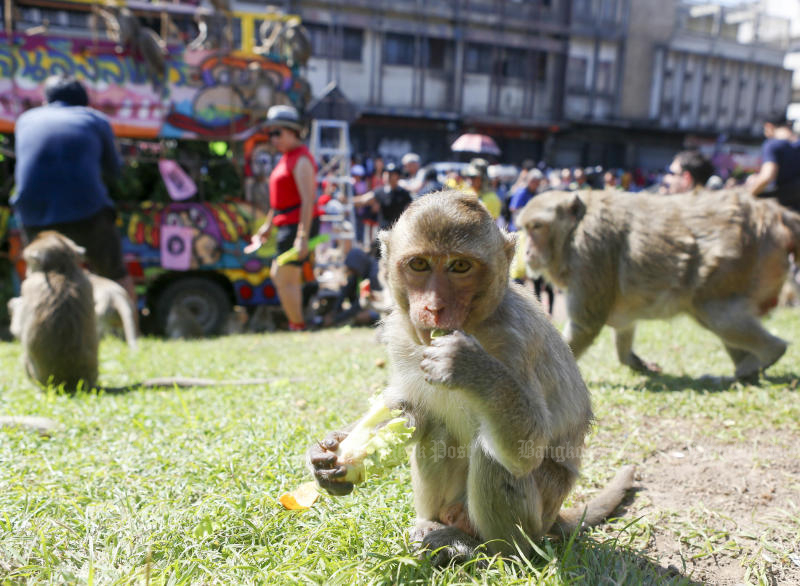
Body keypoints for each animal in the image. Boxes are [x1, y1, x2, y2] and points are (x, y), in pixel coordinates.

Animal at [310, 189, 636, 564]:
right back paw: (432, 526)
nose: (434, 307)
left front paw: (468, 365)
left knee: (493, 457)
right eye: (419, 264)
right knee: (436, 429)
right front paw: (332, 449)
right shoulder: (401, 339)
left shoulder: (517, 340)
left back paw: (486, 551)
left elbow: (526, 450)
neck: (477, 324)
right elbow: (408, 412)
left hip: (539, 512)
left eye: (460, 266)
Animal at [516, 187, 796, 378]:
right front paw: (634, 361)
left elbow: (586, 325)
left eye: (537, 227)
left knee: (717, 314)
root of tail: (771, 213)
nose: (527, 252)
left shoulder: (591, 251)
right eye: (525, 229)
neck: (573, 232)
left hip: (735, 263)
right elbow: (624, 324)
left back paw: (767, 355)